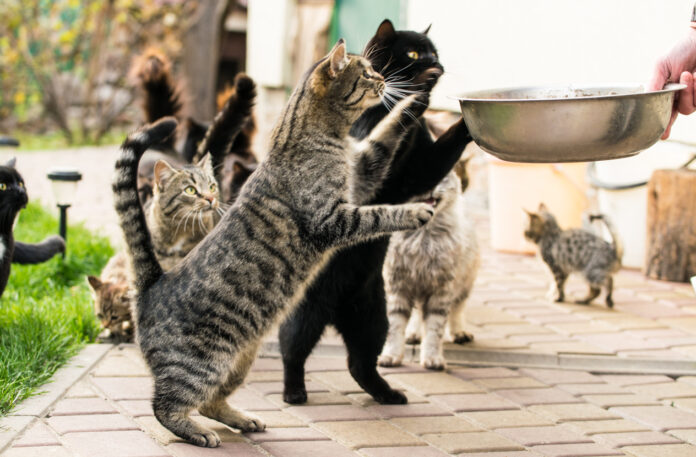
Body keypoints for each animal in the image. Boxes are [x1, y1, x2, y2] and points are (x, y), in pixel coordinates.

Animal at [114, 38, 436, 446]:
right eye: (366, 73)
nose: (382, 78)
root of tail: (152, 285)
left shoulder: (363, 170)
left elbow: (386, 131)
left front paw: (418, 96)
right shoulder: (333, 217)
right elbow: (381, 213)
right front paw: (416, 211)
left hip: (238, 361)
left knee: (210, 402)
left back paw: (241, 419)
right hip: (202, 364)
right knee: (166, 405)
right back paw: (197, 432)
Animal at [378, 165, 482, 370]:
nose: (431, 187)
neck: (422, 240)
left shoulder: (440, 291)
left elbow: (434, 330)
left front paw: (433, 359)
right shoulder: (397, 287)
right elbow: (395, 327)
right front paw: (391, 356)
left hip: (464, 285)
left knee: (457, 311)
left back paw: (459, 333)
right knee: (417, 315)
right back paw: (413, 334)